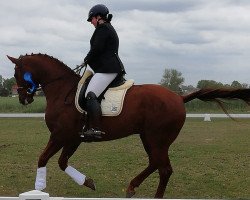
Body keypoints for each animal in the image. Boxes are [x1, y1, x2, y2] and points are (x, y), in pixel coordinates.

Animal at [7, 53, 250, 198]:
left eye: (16, 73)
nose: (24, 99)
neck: (62, 91)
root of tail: (179, 98)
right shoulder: (74, 138)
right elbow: (61, 162)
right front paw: (88, 182)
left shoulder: (60, 135)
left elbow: (43, 158)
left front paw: (38, 188)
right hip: (148, 138)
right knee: (157, 164)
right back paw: (132, 186)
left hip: (157, 139)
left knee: (164, 168)